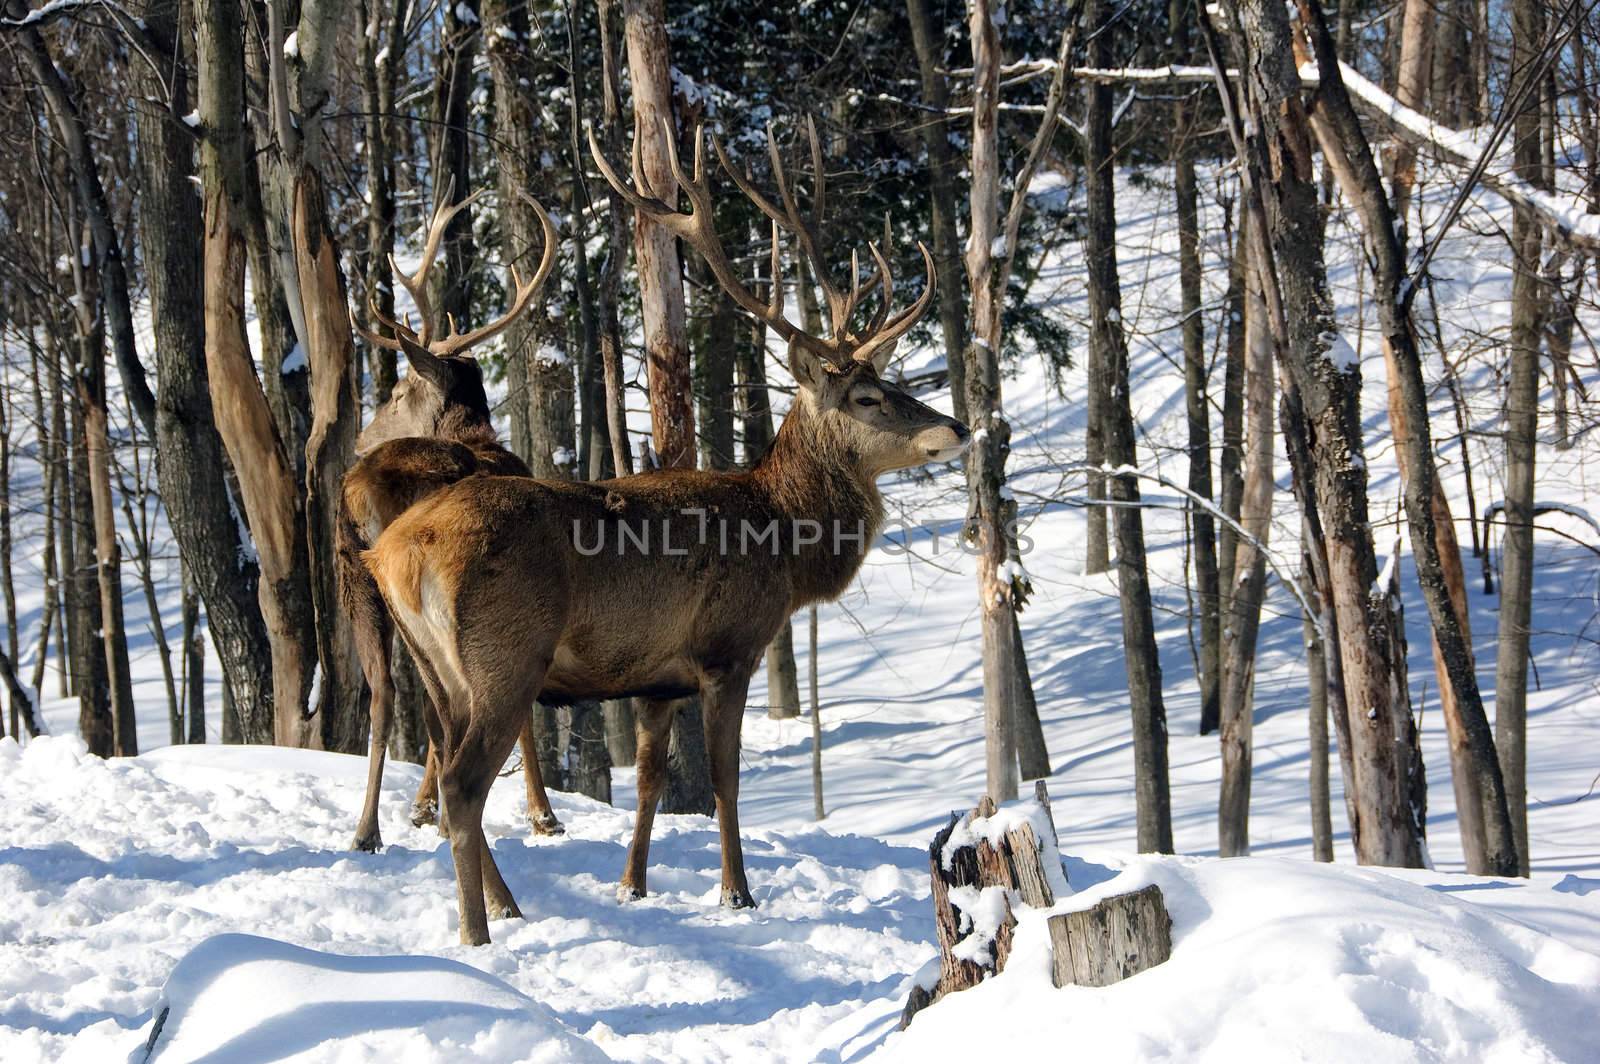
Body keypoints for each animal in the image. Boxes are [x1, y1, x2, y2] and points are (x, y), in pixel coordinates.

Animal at [336, 186, 563, 851]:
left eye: (397, 391)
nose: (360, 434)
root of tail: (360, 490)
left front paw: (417, 808)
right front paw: (542, 813)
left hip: (357, 580)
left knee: (386, 694)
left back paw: (367, 829)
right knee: (439, 706)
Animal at [368, 116, 966, 940]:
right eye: (870, 397)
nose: (959, 428)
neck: (783, 540)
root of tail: (395, 552)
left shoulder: (655, 678)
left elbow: (651, 781)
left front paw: (633, 885)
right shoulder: (728, 648)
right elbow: (723, 781)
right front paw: (737, 893)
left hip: (436, 668)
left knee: (444, 757)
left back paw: (505, 904)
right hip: (505, 657)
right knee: (462, 783)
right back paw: (480, 930)